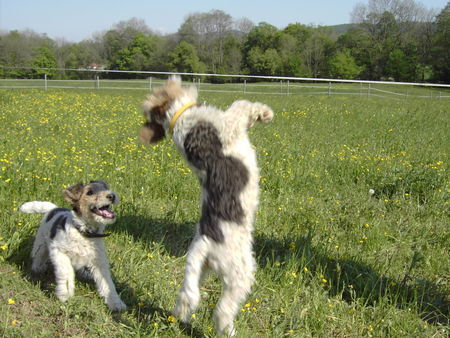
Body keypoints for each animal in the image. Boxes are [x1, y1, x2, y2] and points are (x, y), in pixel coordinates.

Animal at [20, 180, 125, 312]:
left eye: (105, 188)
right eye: (89, 192)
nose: (112, 196)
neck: (83, 232)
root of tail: (54, 209)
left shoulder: (99, 261)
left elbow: (107, 283)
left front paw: (116, 303)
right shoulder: (58, 251)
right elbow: (66, 272)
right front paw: (65, 294)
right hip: (41, 243)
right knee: (38, 256)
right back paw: (37, 268)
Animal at [141, 77, 272, 336]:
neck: (180, 118)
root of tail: (206, 242)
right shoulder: (227, 125)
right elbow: (240, 104)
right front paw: (263, 113)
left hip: (198, 267)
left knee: (187, 296)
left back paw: (178, 317)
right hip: (240, 273)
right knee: (222, 310)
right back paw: (228, 331)